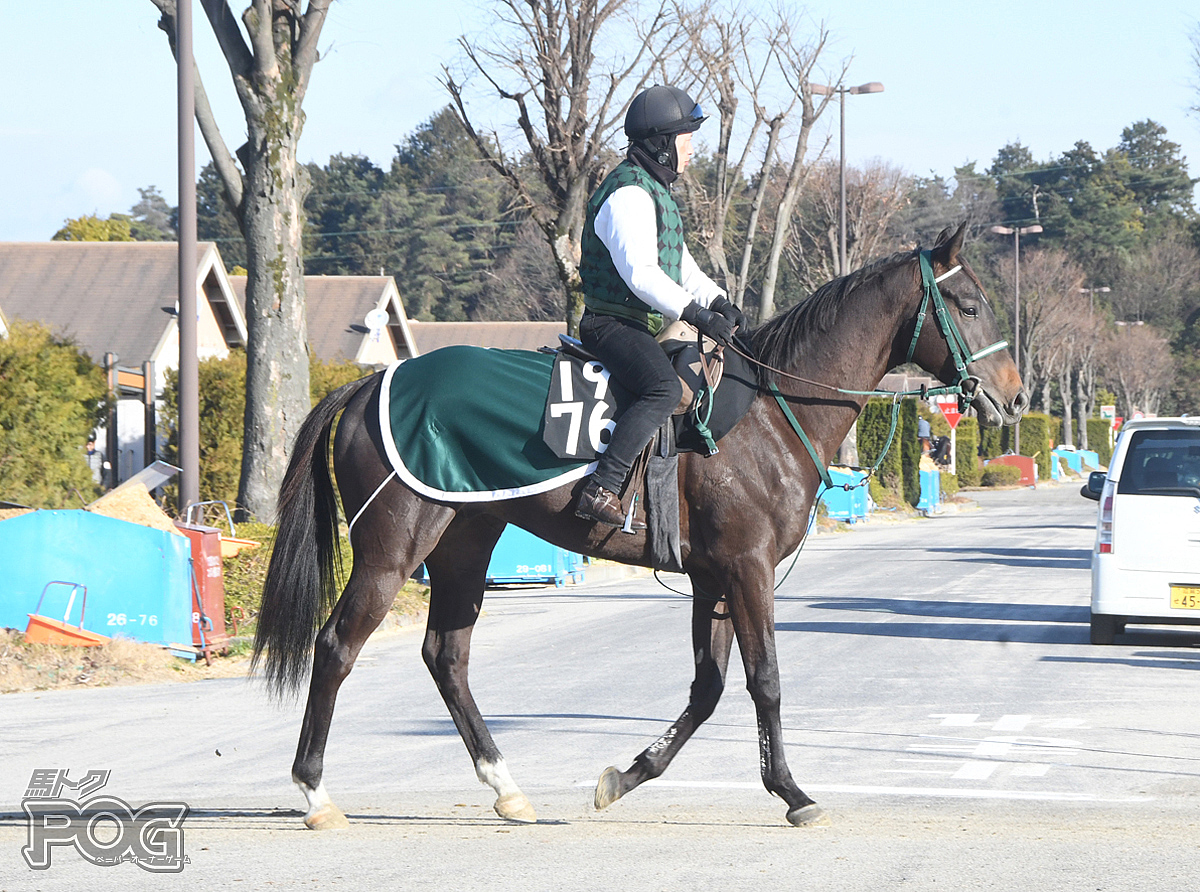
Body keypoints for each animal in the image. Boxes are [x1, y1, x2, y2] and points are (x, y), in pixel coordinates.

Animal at [250, 223, 1022, 830]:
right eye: (970, 304)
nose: (1014, 398)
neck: (770, 408)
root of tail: (366, 386)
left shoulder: (713, 576)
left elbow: (708, 687)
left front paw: (625, 776)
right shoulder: (746, 567)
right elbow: (765, 678)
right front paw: (794, 793)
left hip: (465, 543)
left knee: (447, 655)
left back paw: (506, 787)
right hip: (391, 549)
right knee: (336, 646)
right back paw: (315, 792)